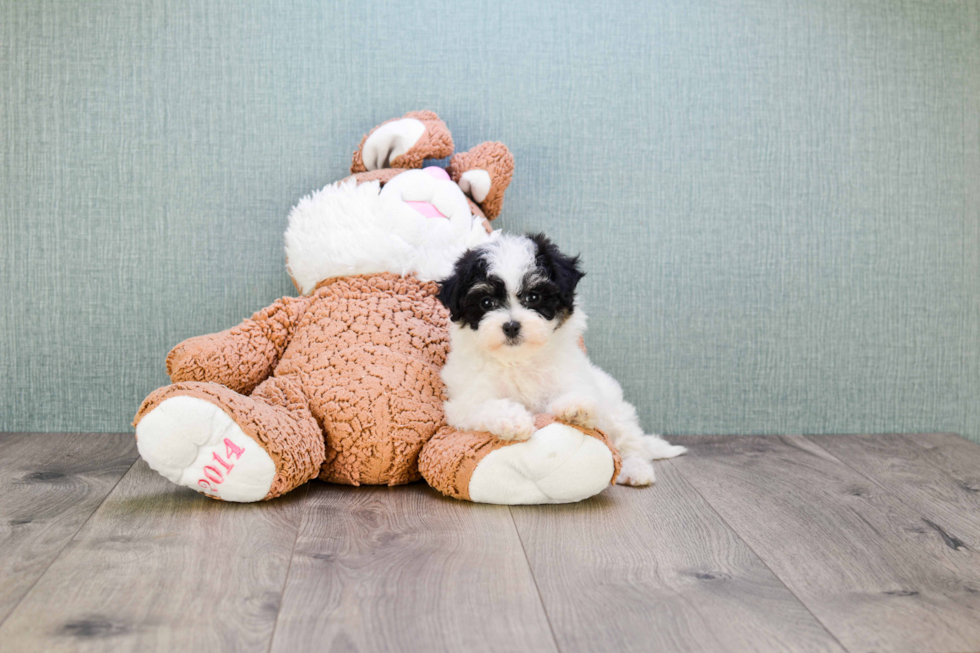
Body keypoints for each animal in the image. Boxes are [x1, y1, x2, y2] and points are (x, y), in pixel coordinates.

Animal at [440, 233, 684, 484]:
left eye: (534, 296)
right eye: (486, 303)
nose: (511, 326)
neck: (519, 360)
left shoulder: (574, 377)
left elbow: (580, 396)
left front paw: (576, 407)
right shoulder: (464, 399)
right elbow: (486, 404)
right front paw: (512, 420)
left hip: (617, 410)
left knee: (631, 441)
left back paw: (636, 469)